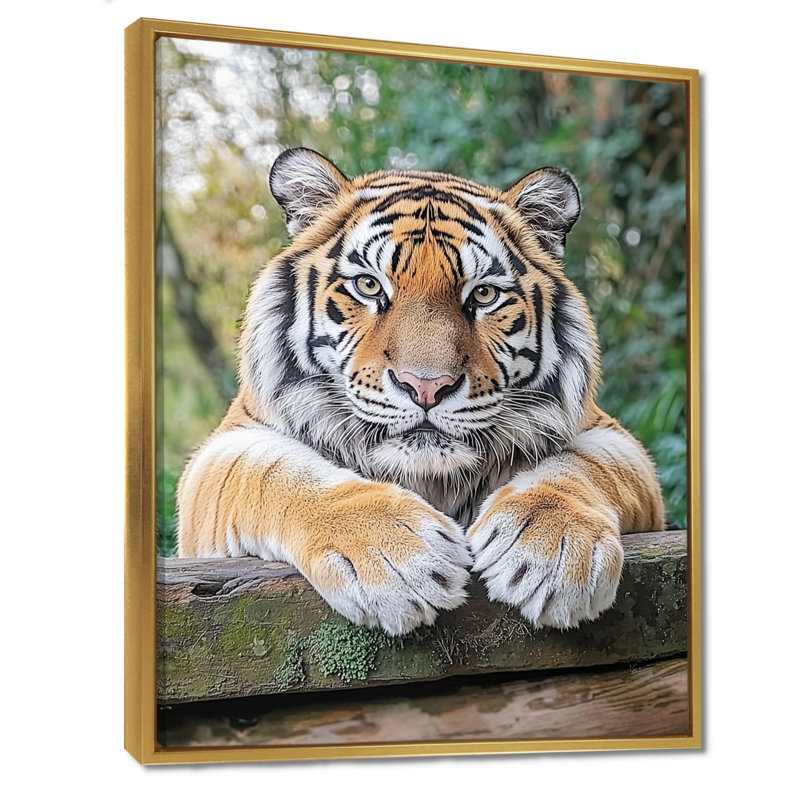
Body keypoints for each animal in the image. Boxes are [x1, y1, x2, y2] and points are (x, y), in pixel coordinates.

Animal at [177, 147, 664, 636]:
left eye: (483, 295)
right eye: (369, 285)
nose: (426, 386)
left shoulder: (610, 436)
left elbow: (580, 466)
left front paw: (552, 549)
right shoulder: (223, 449)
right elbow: (277, 474)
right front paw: (392, 556)